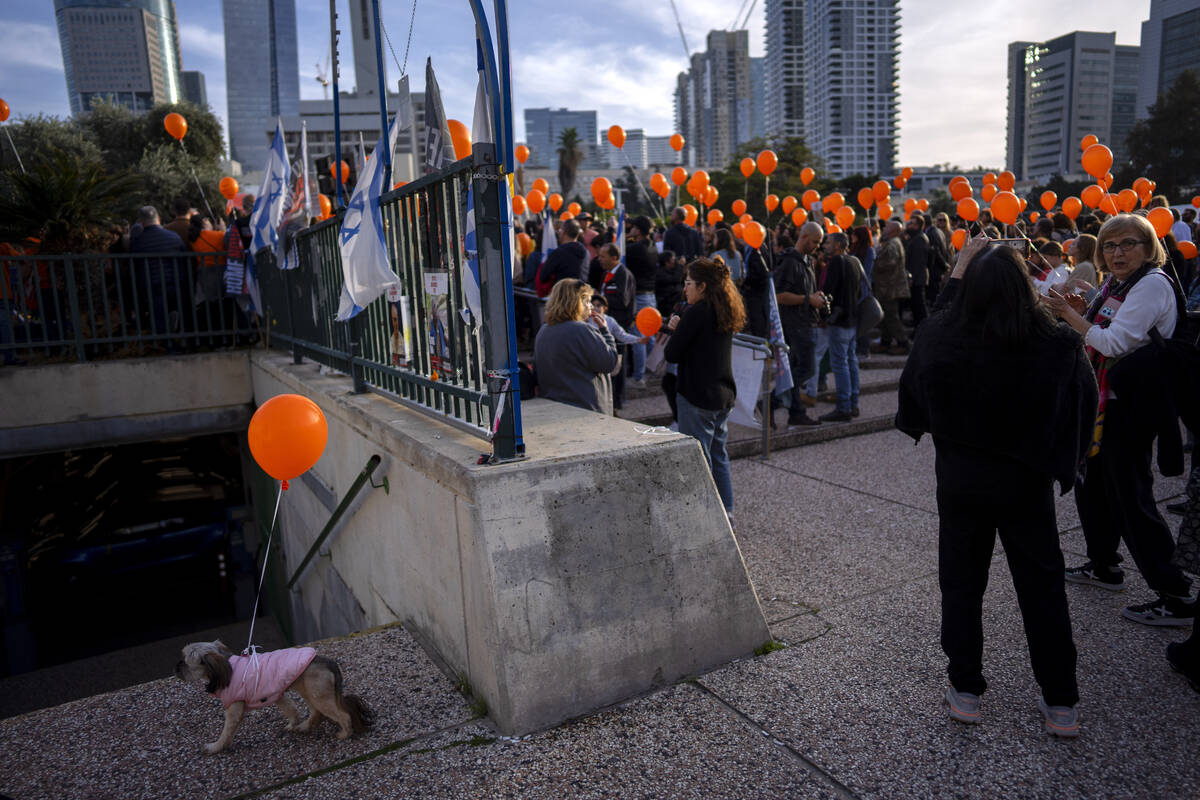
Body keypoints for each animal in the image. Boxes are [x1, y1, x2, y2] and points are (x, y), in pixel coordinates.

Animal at [174, 642, 374, 753]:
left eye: (185, 661)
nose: (176, 667)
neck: (226, 668)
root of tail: (330, 663)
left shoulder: (234, 709)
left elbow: (226, 731)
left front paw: (215, 747)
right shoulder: (275, 694)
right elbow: (291, 709)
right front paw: (292, 724)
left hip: (319, 696)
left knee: (342, 715)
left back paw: (344, 734)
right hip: (309, 690)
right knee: (316, 712)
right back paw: (304, 727)